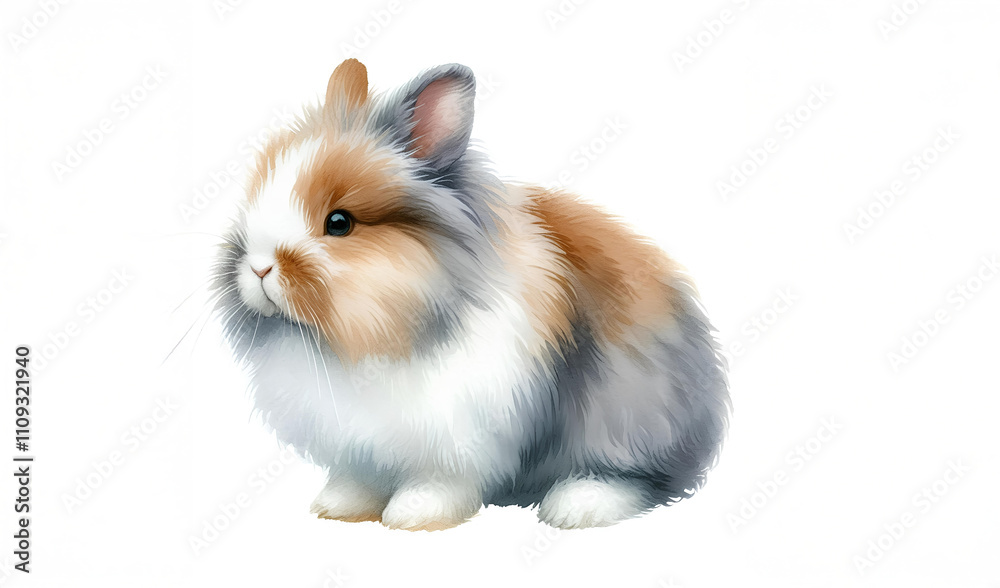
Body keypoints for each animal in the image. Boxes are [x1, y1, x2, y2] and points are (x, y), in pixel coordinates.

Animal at [213, 58, 730, 531]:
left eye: (339, 223)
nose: (258, 267)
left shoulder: (463, 433)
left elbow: (442, 480)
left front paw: (414, 514)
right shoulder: (359, 441)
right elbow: (361, 477)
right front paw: (338, 505)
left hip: (629, 413)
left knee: (645, 478)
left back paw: (576, 506)